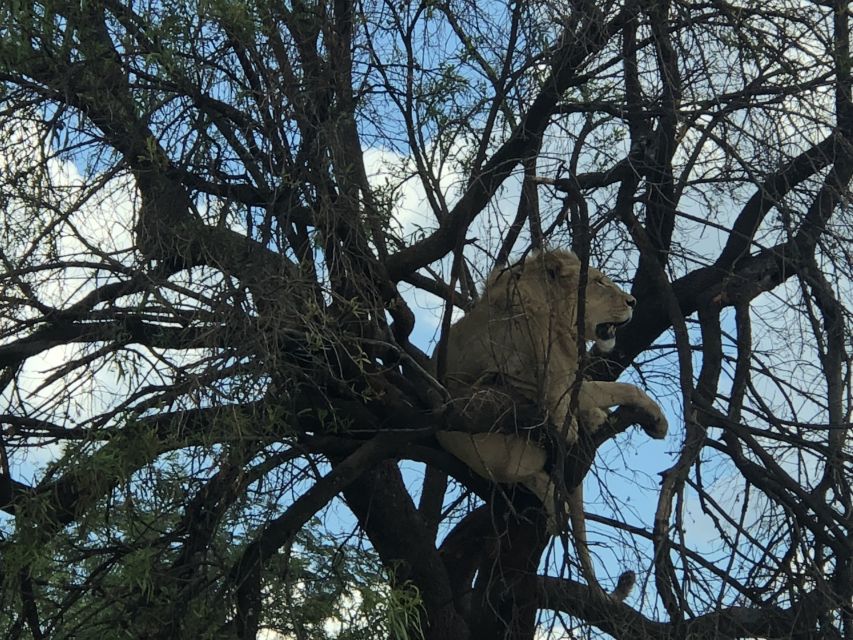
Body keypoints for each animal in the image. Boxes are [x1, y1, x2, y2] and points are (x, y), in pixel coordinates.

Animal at [436, 249, 668, 600]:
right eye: (599, 282)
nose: (632, 301)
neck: (559, 319)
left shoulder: (567, 380)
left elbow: (608, 390)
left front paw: (605, 417)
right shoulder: (554, 386)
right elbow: (617, 390)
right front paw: (655, 420)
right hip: (497, 442)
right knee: (532, 475)